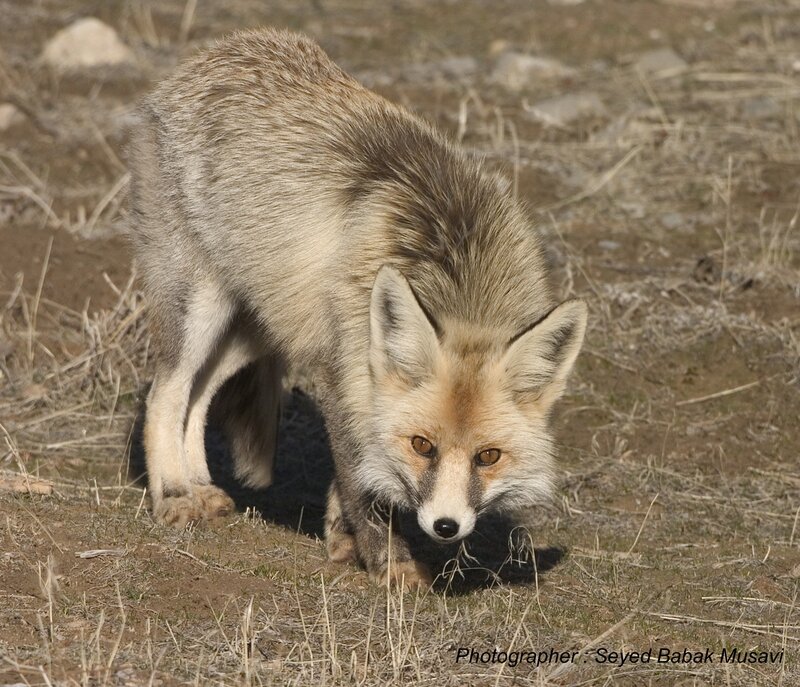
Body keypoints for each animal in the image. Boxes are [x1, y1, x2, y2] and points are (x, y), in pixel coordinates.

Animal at [127, 28, 587, 589]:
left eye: (489, 456)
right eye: (421, 445)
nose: (446, 526)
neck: (456, 263)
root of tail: (220, 49)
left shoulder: (356, 377)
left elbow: (352, 474)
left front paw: (341, 537)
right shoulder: (341, 369)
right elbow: (360, 479)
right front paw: (391, 563)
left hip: (261, 326)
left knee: (200, 394)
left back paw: (198, 484)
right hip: (202, 306)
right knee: (166, 392)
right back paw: (172, 493)